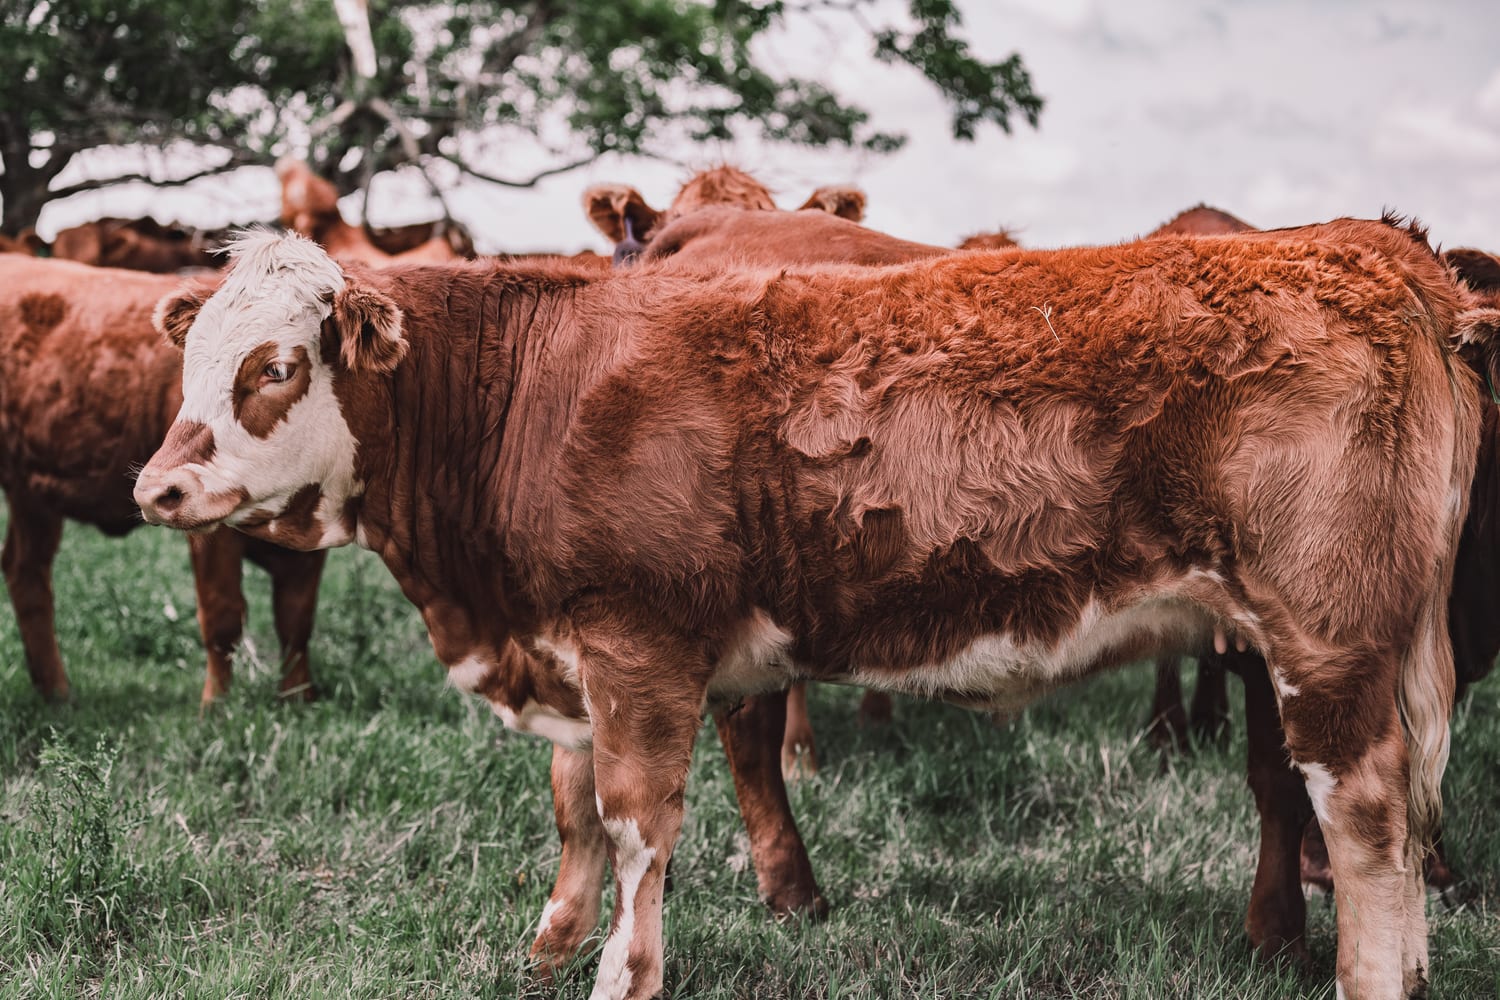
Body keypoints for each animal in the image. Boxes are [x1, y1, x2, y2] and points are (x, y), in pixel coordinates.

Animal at [0, 254, 327, 704]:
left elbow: (296, 618)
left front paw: (299, 700)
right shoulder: (207, 524)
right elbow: (223, 614)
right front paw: (217, 705)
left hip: (33, 492)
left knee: (25, 570)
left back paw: (56, 693)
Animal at [136, 219, 1486, 1000]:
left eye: (273, 366)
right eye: (188, 358)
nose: (160, 486)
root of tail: (1376, 254)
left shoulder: (639, 643)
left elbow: (637, 823)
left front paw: (624, 972)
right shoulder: (571, 644)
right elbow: (574, 810)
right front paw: (550, 942)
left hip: (1328, 642)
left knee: (1365, 822)